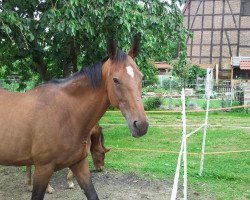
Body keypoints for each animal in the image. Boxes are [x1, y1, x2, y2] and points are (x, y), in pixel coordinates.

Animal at [0, 36, 148, 200]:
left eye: (141, 77)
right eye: (115, 80)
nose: (141, 125)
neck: (67, 116)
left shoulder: (79, 164)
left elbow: (92, 194)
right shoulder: (43, 168)